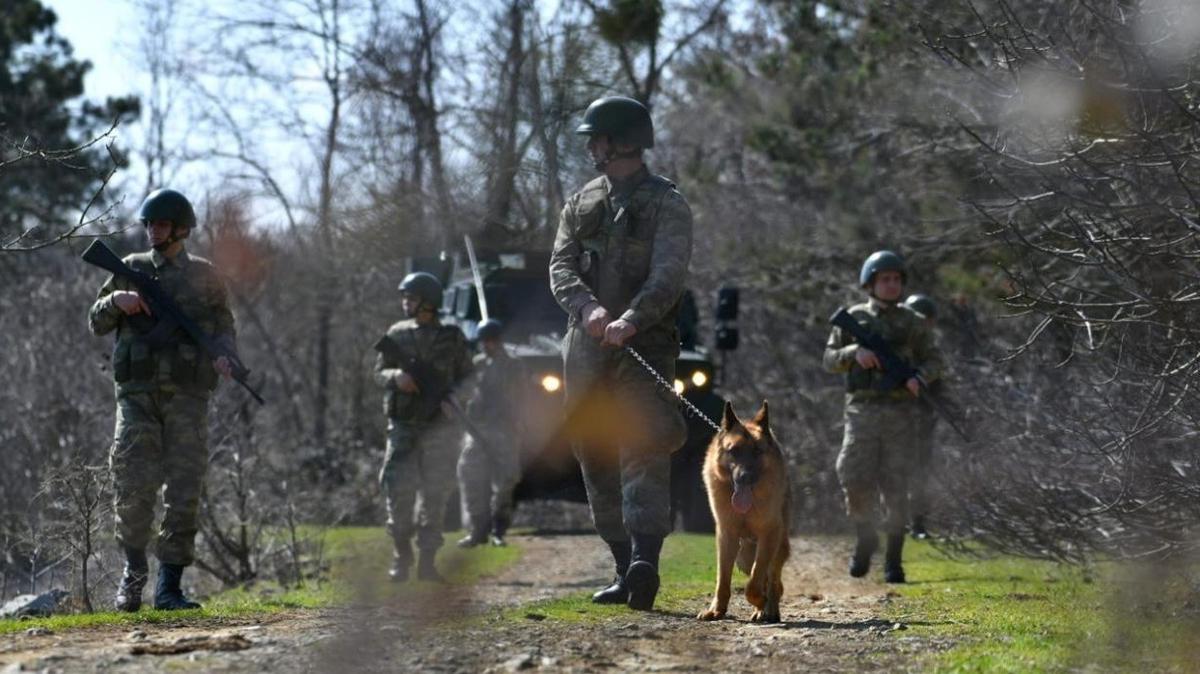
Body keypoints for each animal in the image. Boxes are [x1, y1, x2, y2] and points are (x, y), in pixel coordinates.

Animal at [696, 398, 787, 618]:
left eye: (757, 451)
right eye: (734, 451)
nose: (745, 477)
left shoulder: (769, 534)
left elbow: (754, 582)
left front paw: (761, 601)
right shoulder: (726, 536)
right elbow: (722, 579)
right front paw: (716, 610)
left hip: (777, 546)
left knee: (773, 580)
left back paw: (769, 609)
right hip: (743, 557)